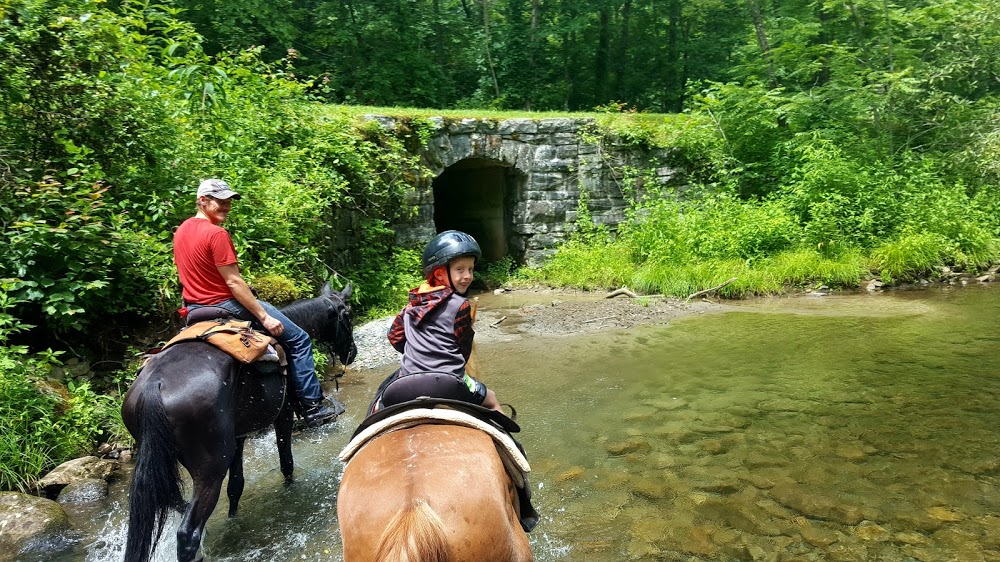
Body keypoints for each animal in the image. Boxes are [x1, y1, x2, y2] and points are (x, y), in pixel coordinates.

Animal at [121, 282, 358, 560]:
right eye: (348, 316)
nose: (352, 353)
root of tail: (155, 385)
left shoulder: (238, 435)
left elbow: (236, 485)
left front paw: (234, 518)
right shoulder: (283, 413)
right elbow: (286, 462)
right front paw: (291, 489)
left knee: (174, 502)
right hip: (211, 467)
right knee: (188, 533)